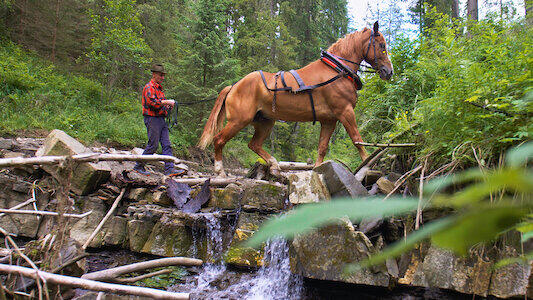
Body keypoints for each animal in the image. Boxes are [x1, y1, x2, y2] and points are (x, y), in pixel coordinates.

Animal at [197, 22, 392, 177]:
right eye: (382, 45)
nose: (389, 72)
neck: (336, 70)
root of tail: (234, 86)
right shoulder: (345, 112)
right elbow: (357, 139)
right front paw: (369, 163)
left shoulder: (329, 120)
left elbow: (322, 147)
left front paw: (317, 170)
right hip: (239, 120)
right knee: (219, 140)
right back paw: (220, 171)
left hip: (265, 122)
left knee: (254, 144)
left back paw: (274, 165)